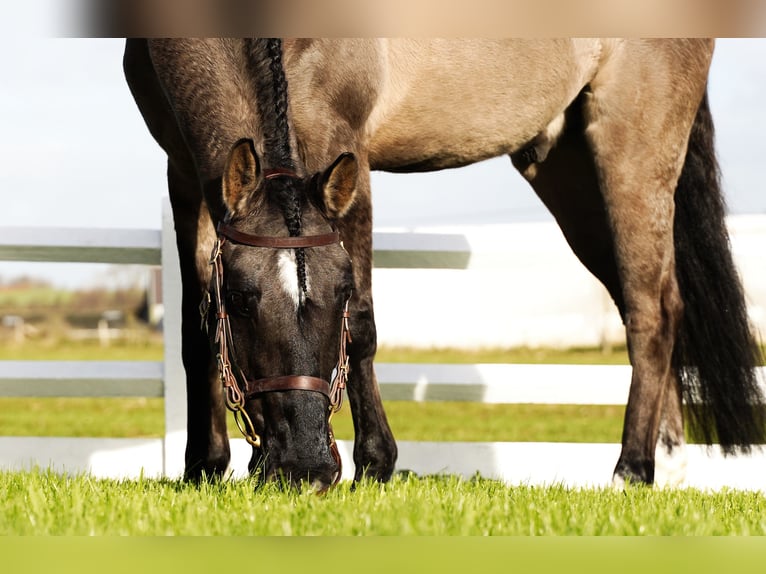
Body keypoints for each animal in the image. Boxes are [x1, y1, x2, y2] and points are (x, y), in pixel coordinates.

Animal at [123, 38, 764, 492]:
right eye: (240, 299)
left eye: (340, 292)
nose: (305, 468)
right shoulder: (186, 173)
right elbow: (194, 331)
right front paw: (203, 467)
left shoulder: (345, 151)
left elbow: (365, 326)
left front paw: (376, 464)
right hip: (567, 170)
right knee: (648, 305)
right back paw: (668, 470)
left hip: (633, 150)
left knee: (652, 312)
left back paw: (632, 469)